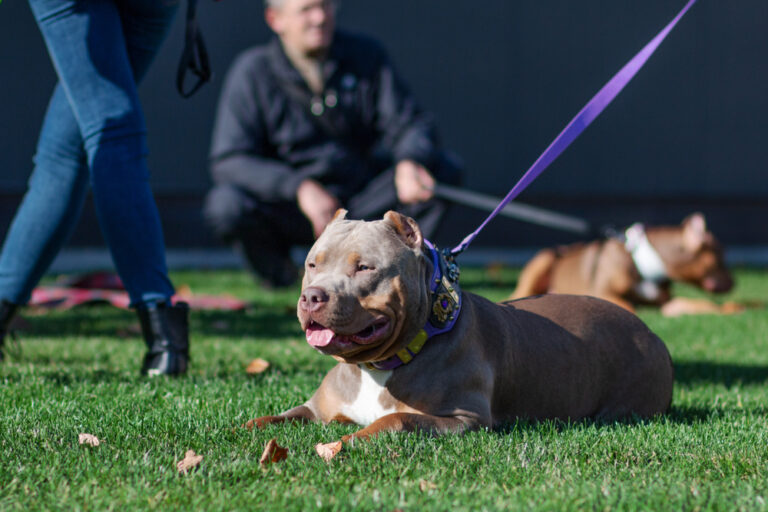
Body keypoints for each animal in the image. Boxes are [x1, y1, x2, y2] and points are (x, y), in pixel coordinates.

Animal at [244, 210, 672, 458]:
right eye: (312, 264)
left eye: (364, 267)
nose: (311, 296)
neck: (377, 367)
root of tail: (650, 331)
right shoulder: (318, 409)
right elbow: (277, 417)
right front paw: (245, 427)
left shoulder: (462, 418)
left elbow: (394, 420)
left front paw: (344, 443)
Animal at [510, 212, 736, 316]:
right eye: (721, 255)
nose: (735, 283)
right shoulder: (603, 292)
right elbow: (627, 305)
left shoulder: (668, 303)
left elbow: (700, 304)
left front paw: (731, 308)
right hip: (544, 260)